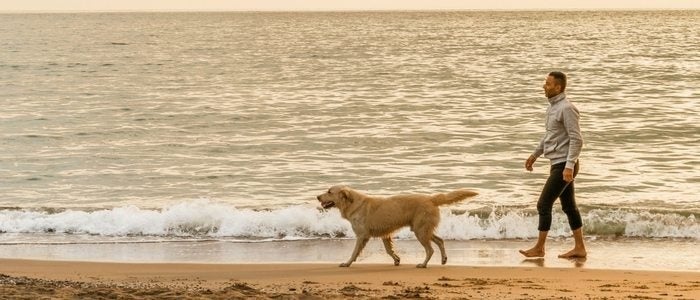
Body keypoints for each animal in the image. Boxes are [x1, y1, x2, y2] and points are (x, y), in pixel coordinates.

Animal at [316, 185, 476, 268]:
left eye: (329, 192)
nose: (317, 196)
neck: (352, 204)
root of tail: (431, 198)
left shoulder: (362, 236)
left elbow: (354, 252)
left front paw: (347, 263)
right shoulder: (384, 234)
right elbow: (388, 250)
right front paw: (396, 259)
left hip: (420, 231)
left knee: (430, 249)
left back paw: (423, 264)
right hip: (423, 229)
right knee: (440, 241)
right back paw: (443, 259)